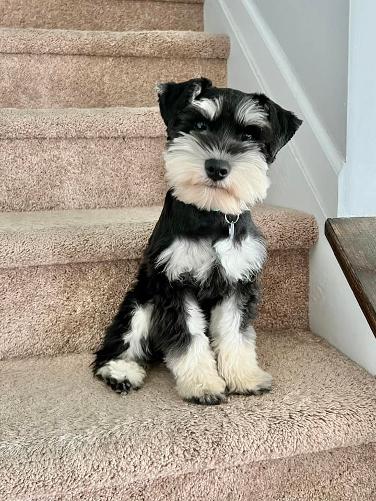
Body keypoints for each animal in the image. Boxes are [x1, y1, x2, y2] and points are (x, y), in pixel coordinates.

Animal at [94, 79, 302, 406]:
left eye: (248, 135)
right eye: (200, 125)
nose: (217, 167)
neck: (211, 216)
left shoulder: (237, 285)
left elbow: (235, 334)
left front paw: (244, 377)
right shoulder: (174, 284)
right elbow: (189, 337)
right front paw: (202, 385)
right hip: (141, 301)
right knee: (121, 341)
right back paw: (121, 371)